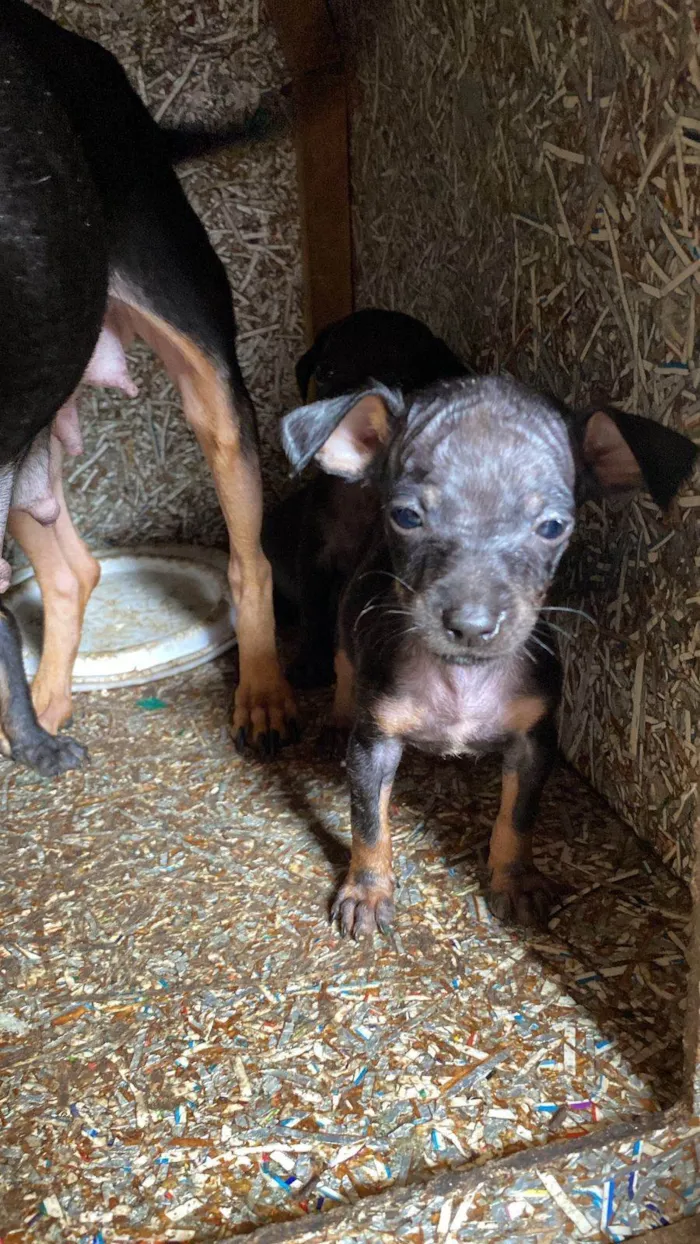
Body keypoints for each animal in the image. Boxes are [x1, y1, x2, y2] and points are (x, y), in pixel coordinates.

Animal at [261, 306, 465, 686]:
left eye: (398, 378)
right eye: (325, 371)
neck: (356, 494)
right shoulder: (314, 556)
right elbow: (313, 613)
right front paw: (311, 663)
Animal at [282, 375, 696, 935]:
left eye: (552, 526)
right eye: (406, 516)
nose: (471, 625)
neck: (462, 679)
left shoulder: (533, 744)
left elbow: (517, 819)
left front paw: (514, 880)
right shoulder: (375, 748)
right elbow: (368, 822)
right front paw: (367, 890)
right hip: (351, 617)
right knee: (345, 666)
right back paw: (338, 717)